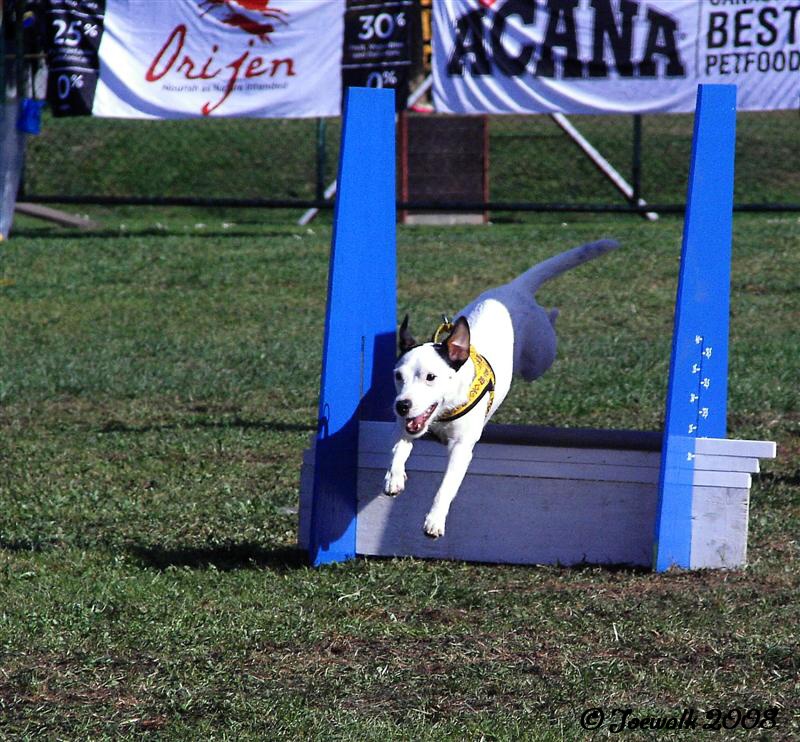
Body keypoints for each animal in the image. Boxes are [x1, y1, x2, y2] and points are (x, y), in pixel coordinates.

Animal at [384, 241, 620, 536]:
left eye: (431, 377)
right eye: (398, 376)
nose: (401, 405)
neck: (444, 412)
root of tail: (514, 288)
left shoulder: (461, 449)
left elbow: (446, 486)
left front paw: (435, 519)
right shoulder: (403, 425)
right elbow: (398, 448)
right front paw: (394, 477)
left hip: (539, 359)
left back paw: (552, 314)